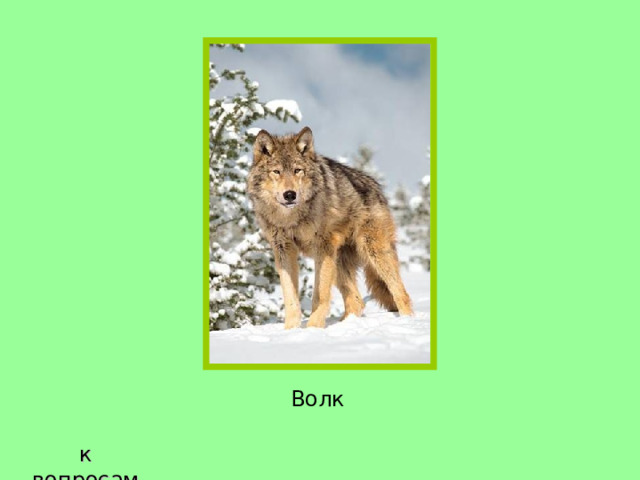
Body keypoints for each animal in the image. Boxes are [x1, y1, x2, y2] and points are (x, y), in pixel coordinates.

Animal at [247, 126, 413, 329]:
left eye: (297, 170)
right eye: (276, 172)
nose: (290, 195)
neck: (291, 219)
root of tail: (376, 187)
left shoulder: (323, 248)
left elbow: (320, 294)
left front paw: (313, 329)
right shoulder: (283, 250)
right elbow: (290, 297)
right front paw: (291, 330)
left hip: (374, 252)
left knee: (401, 293)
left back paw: (407, 321)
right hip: (339, 263)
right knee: (357, 301)